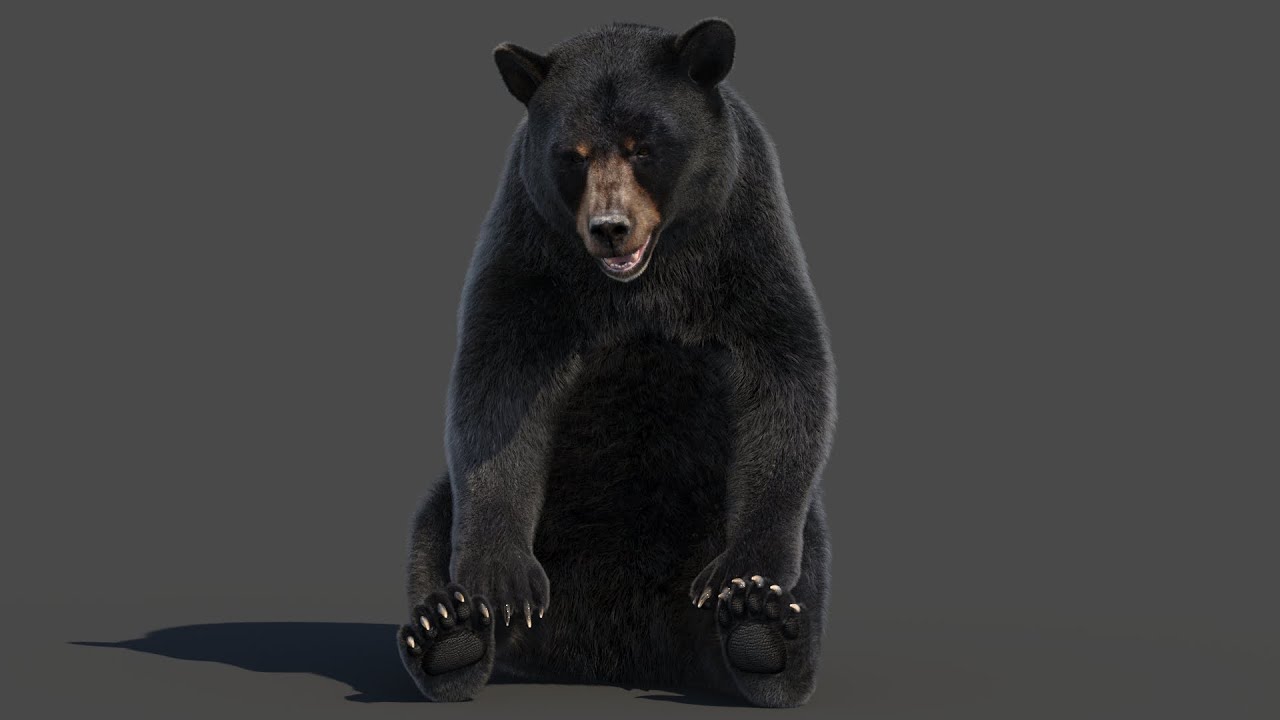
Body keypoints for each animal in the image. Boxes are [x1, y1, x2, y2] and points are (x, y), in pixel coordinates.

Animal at [397, 17, 836, 708]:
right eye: (572, 155)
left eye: (643, 147)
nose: (610, 227)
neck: (639, 283)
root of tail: (612, 658)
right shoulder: (533, 255)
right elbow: (498, 386)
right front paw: (501, 581)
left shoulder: (743, 245)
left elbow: (783, 371)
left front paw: (746, 579)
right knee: (432, 525)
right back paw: (449, 631)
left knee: (807, 548)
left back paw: (762, 634)